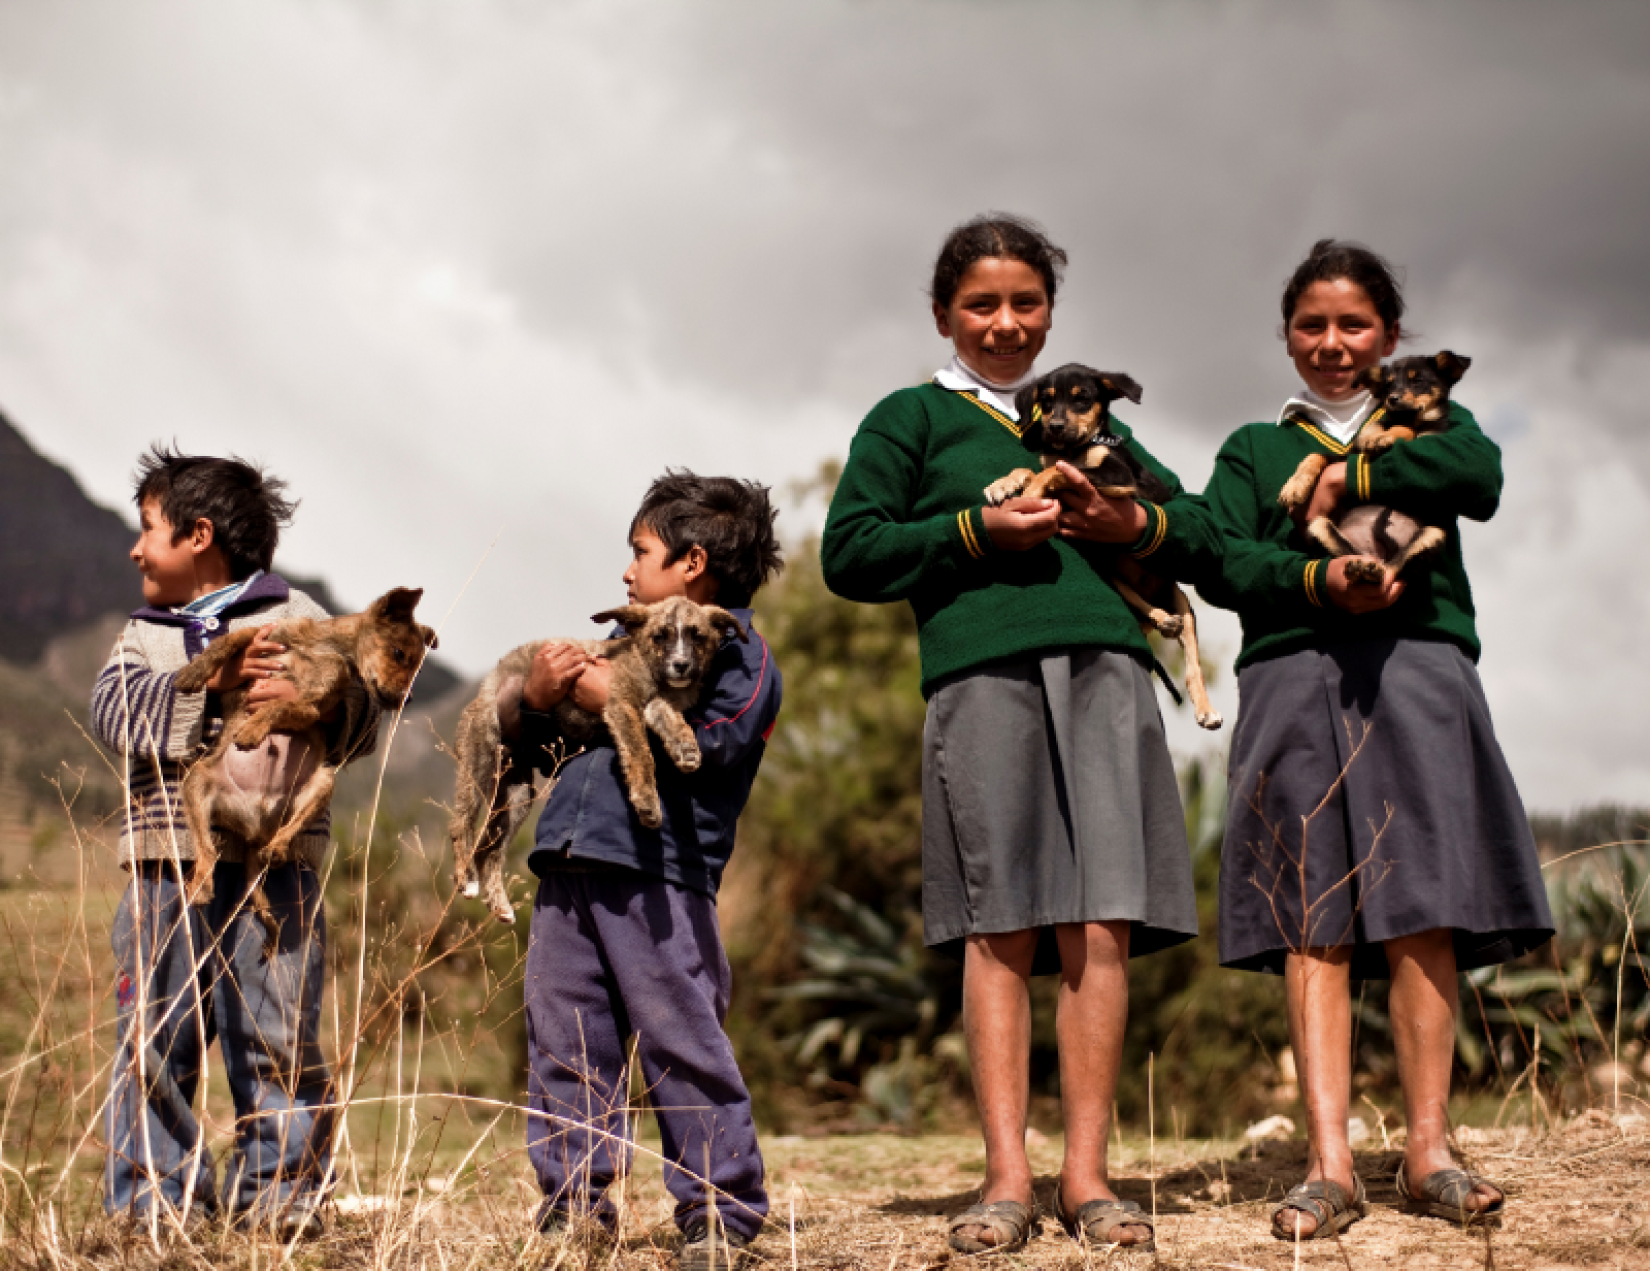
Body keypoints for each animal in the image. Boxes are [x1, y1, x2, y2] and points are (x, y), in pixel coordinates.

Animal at [175, 584, 438, 937]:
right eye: (398, 654)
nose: (406, 699)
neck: (323, 648)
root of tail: (255, 830)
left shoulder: (311, 707)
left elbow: (278, 706)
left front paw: (253, 729)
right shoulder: (263, 636)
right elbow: (231, 639)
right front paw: (194, 672)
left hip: (323, 783)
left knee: (281, 833)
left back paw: (274, 849)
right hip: (196, 780)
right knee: (206, 850)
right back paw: (201, 885)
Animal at [445, 594, 742, 924]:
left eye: (697, 636)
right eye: (660, 636)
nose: (681, 665)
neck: (648, 665)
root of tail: (484, 689)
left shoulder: (655, 705)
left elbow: (675, 721)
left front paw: (686, 749)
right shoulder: (622, 703)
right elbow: (641, 753)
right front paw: (647, 802)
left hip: (517, 794)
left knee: (490, 852)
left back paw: (499, 903)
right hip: (479, 761)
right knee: (460, 825)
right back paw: (467, 880)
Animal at [976, 361, 1227, 726]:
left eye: (1082, 399)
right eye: (1046, 401)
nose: (1054, 427)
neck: (1075, 447)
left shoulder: (1116, 476)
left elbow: (1059, 472)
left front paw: (1031, 489)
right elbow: (1035, 468)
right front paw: (1005, 483)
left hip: (1181, 601)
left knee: (1193, 661)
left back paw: (1206, 708)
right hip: (1110, 573)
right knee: (1138, 602)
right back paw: (1162, 619)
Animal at [1273, 349, 1471, 581]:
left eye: (1418, 381)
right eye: (1388, 385)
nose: (1391, 399)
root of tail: (1374, 556)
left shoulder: (1431, 438)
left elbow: (1406, 429)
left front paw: (1383, 437)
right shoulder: (1349, 455)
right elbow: (1315, 455)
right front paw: (1294, 488)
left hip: (1433, 533)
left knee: (1393, 570)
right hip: (1318, 526)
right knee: (1349, 556)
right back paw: (1361, 568)